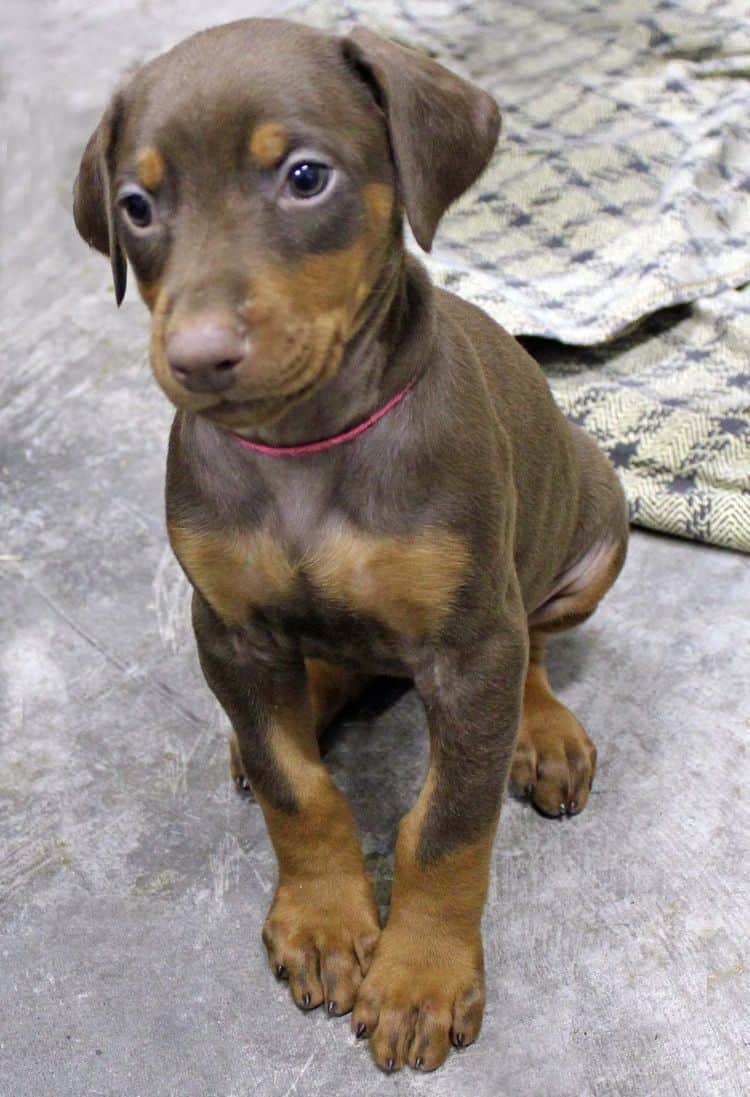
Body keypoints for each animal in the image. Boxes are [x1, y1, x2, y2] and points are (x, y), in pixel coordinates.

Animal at [74, 21, 627, 1075]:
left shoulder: (468, 646)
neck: (304, 444)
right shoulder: (227, 627)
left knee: (535, 644)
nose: (196, 357)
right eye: (136, 206)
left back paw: (539, 732)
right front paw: (326, 922)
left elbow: (447, 826)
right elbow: (298, 791)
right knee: (318, 677)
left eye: (305, 177)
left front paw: (419, 976)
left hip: (594, 527)